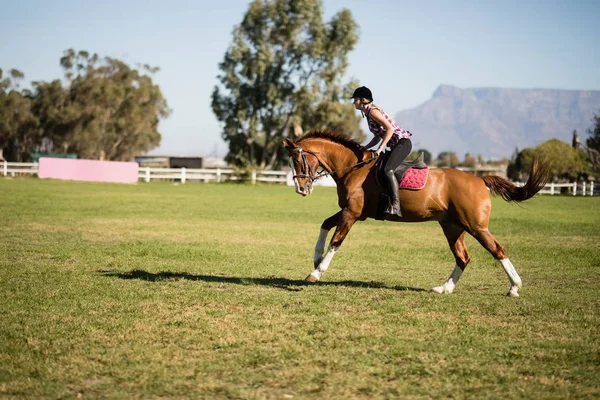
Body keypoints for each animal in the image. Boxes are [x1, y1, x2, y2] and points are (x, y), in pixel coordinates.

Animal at [284, 130, 552, 296]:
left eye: (299, 161)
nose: (301, 188)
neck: (354, 168)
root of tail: (479, 179)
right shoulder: (351, 212)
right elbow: (325, 224)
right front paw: (316, 257)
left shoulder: (352, 213)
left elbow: (336, 240)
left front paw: (316, 272)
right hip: (453, 226)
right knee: (462, 257)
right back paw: (444, 289)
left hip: (476, 226)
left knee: (497, 250)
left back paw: (515, 287)